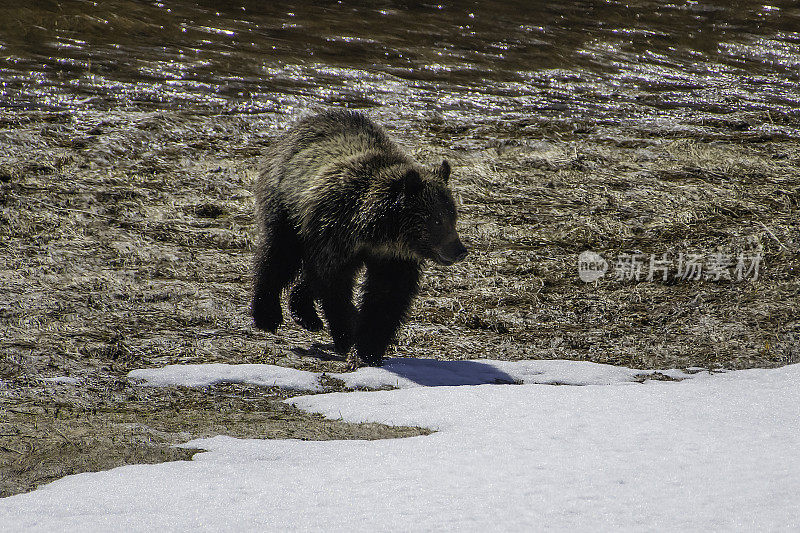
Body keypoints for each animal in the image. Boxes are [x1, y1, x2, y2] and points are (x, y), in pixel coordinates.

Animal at [253, 108, 468, 366]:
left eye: (453, 216)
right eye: (436, 220)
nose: (459, 250)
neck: (377, 234)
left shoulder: (392, 257)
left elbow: (386, 296)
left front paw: (369, 347)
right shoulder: (334, 233)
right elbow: (334, 285)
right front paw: (347, 335)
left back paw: (306, 312)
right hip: (287, 208)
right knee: (279, 253)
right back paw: (267, 314)